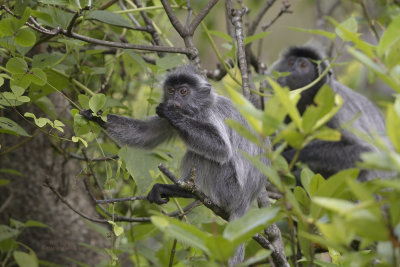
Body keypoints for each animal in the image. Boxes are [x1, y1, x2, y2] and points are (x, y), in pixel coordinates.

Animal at [80, 65, 268, 266]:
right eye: (171, 91)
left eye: (183, 91)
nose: (174, 99)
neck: (198, 109)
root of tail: (245, 202)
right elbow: (146, 134)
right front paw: (96, 116)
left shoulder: (209, 115)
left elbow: (222, 148)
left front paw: (173, 114)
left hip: (229, 189)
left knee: (201, 154)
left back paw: (184, 190)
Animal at [270, 46, 392, 183]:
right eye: (290, 63)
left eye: (303, 65)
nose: (291, 70)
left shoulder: (335, 109)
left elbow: (365, 152)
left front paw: (289, 155)